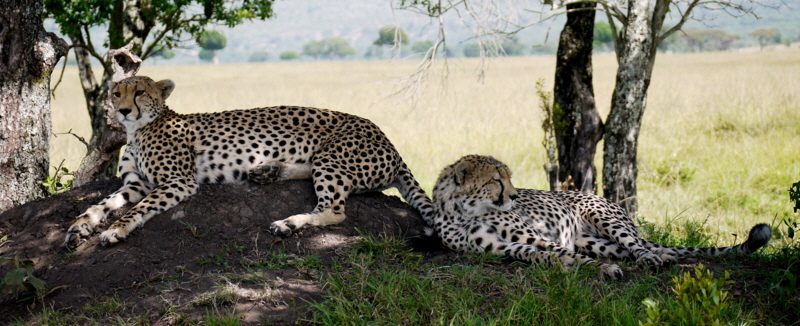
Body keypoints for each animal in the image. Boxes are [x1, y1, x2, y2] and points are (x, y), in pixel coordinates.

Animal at [65, 76, 434, 248]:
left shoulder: (178, 182)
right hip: (325, 157)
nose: (123, 110)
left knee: (335, 211)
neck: (138, 130)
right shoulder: (134, 183)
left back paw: (288, 223)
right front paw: (79, 227)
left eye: (140, 92)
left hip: (333, 156)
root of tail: (389, 142)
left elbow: (138, 209)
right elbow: (101, 203)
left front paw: (115, 230)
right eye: (117, 93)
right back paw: (270, 170)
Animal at [432, 155, 776, 280]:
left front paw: (603, 270)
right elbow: (545, 256)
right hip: (595, 241)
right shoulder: (510, 247)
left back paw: (654, 258)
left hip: (603, 217)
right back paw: (663, 256)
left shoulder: (536, 235)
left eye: (508, 177)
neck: (465, 211)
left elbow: (563, 252)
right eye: (495, 180)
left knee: (638, 245)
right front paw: (569, 265)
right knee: (630, 249)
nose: (514, 196)